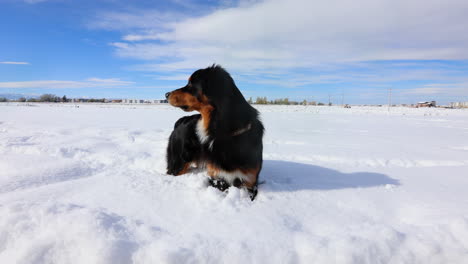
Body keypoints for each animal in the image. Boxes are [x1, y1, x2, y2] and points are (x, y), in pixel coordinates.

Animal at [166, 64, 266, 200]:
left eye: (191, 83)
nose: (166, 94)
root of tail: (180, 122)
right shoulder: (216, 176)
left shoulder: (250, 180)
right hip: (178, 162)